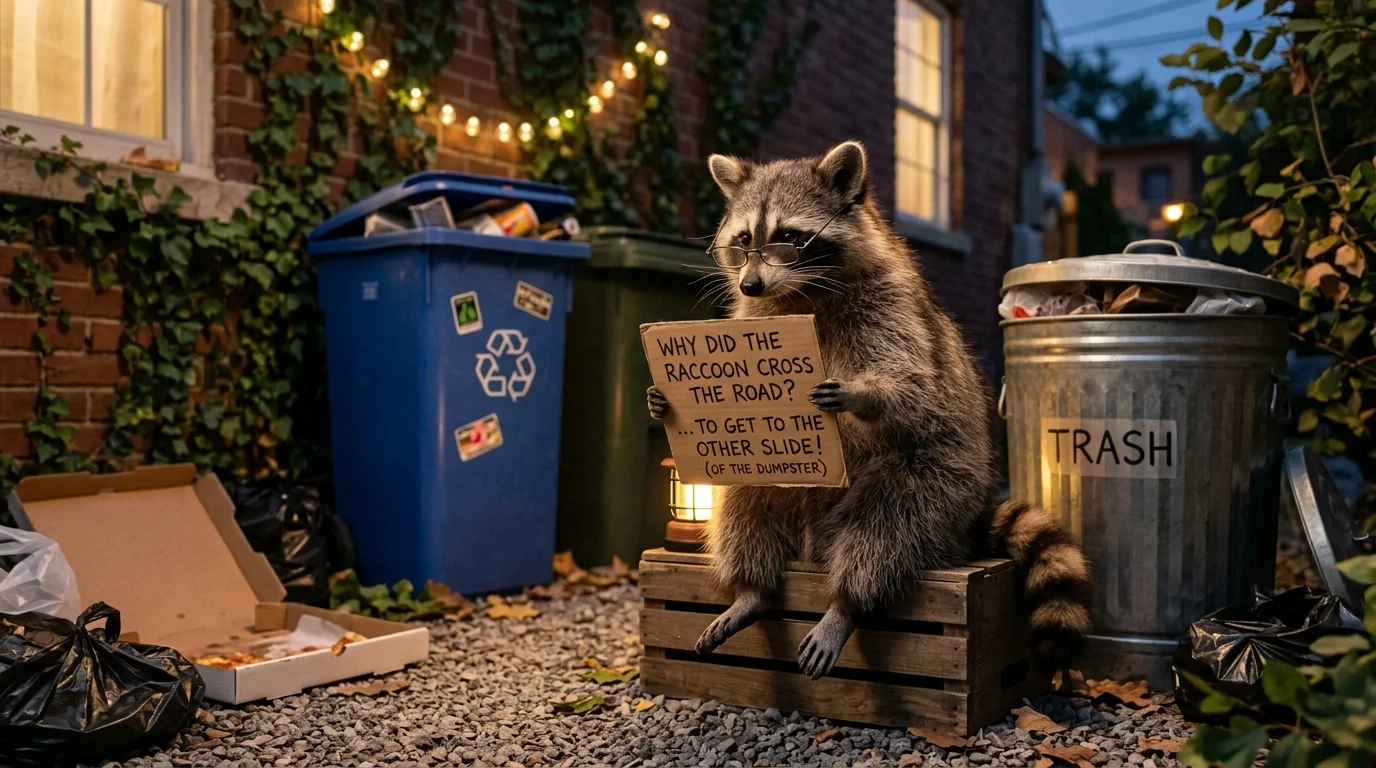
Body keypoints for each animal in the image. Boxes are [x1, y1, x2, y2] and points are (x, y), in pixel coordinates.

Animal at [646, 141, 1093, 679]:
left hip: (939, 478)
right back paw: (751, 590)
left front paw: (866, 393)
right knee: (745, 495)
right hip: (776, 475)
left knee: (888, 522)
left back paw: (845, 602)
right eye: (745, 239)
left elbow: (911, 383)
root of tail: (814, 542)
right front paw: (661, 398)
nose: (750, 284)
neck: (800, 290)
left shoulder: (890, 310)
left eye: (788, 237)